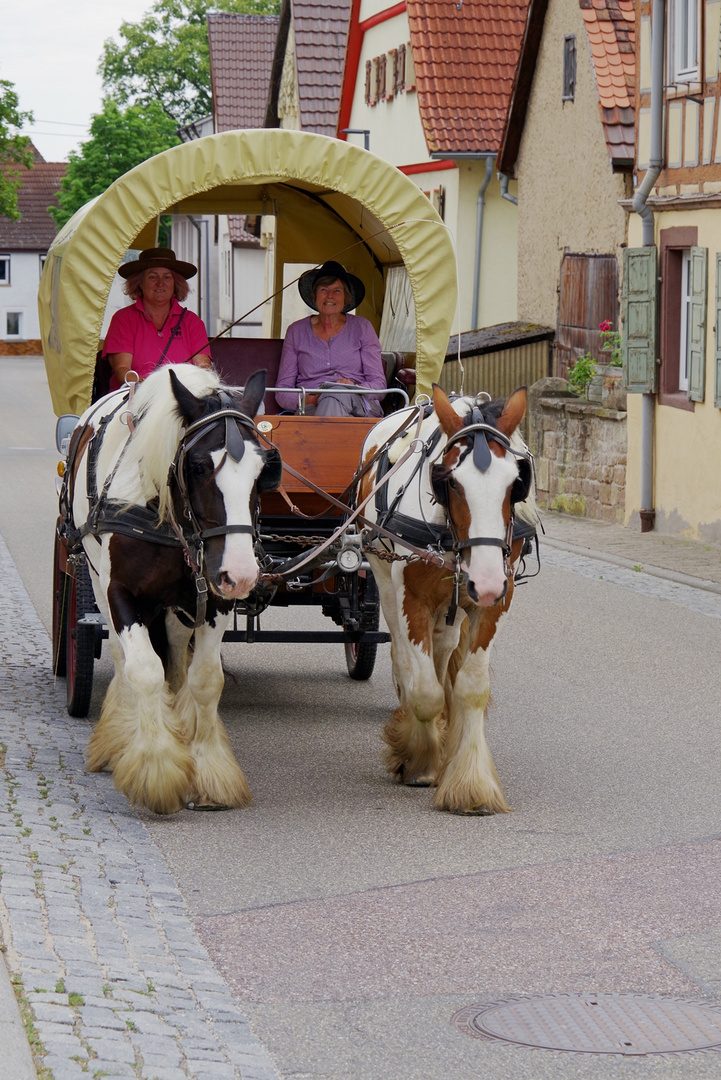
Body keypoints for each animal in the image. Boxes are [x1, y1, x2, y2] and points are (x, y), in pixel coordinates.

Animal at [66, 362, 280, 812]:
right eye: (197, 466)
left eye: (263, 470)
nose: (242, 574)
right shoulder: (119, 592)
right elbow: (144, 670)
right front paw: (156, 769)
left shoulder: (212, 595)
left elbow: (205, 678)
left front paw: (208, 772)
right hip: (93, 576)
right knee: (122, 654)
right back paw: (122, 735)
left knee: (179, 652)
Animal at [360, 384, 535, 812]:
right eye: (452, 482)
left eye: (515, 482)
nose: (485, 581)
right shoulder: (411, 597)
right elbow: (425, 691)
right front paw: (420, 760)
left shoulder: (494, 602)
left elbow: (469, 690)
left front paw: (471, 784)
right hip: (384, 580)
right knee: (404, 656)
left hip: (453, 607)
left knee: (442, 651)